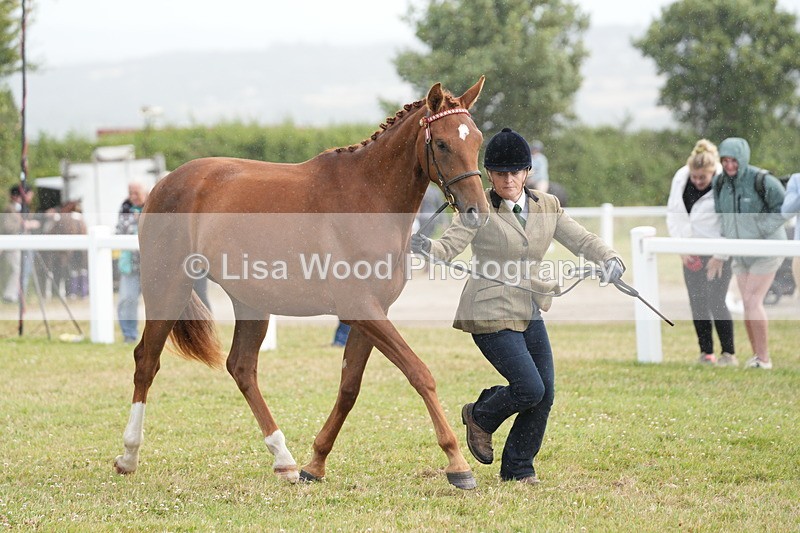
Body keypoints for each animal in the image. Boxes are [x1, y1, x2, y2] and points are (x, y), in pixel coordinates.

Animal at [113, 77, 490, 490]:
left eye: (477, 140)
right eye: (442, 143)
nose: (478, 212)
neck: (367, 198)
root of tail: (163, 184)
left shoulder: (371, 314)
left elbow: (349, 388)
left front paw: (316, 463)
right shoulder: (362, 310)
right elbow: (420, 373)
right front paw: (458, 463)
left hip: (251, 302)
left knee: (241, 367)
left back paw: (284, 460)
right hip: (168, 287)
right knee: (146, 361)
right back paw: (129, 455)